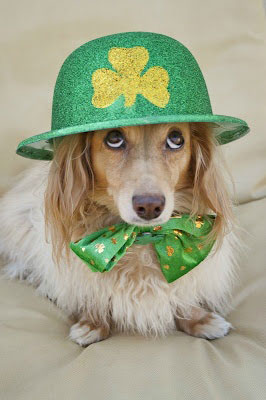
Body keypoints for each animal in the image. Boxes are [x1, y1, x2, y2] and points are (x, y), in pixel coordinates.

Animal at [0, 122, 241, 346]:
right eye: (114, 138)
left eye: (176, 138)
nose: (150, 206)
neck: (140, 236)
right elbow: (92, 291)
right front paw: (92, 323)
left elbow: (182, 291)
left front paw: (199, 319)